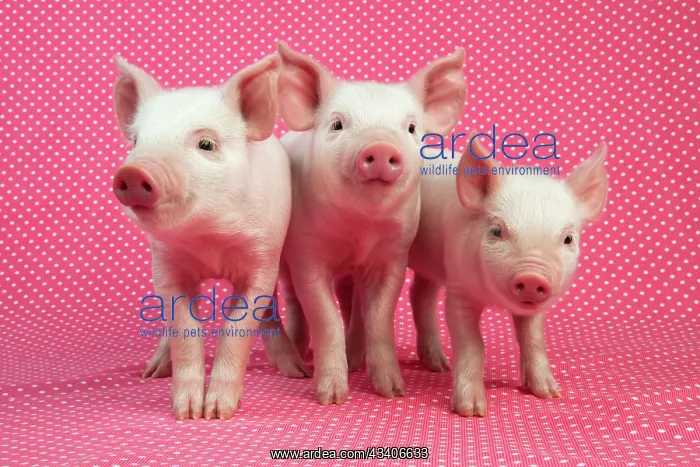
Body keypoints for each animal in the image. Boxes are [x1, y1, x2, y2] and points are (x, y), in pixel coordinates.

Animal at [111, 55, 307, 420]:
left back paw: (296, 370)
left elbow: (237, 326)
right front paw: (187, 414)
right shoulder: (167, 267)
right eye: (136, 142)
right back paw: (152, 372)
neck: (209, 239)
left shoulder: (261, 257)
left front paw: (218, 413)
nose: (133, 172)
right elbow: (184, 328)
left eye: (206, 144)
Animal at [274, 42, 466, 404]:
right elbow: (325, 316)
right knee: (293, 298)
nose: (379, 147)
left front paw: (394, 392)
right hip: (284, 260)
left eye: (411, 128)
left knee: (362, 301)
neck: (360, 228)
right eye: (337, 124)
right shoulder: (307, 254)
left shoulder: (393, 255)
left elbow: (379, 316)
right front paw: (331, 398)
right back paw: (301, 356)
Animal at [408, 135, 609, 416]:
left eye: (568, 238)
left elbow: (533, 339)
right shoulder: (459, 290)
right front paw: (471, 411)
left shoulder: (536, 309)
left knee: (420, 294)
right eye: (497, 231)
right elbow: (473, 345)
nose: (533, 277)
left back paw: (439, 365)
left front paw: (550, 394)